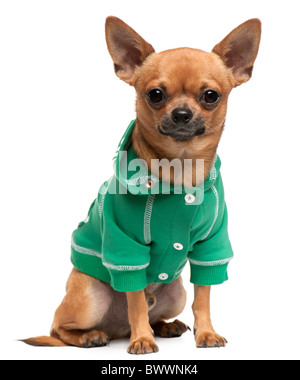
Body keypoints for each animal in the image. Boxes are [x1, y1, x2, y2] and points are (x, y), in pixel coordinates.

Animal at [23, 14, 262, 354]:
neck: (179, 168)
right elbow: (134, 301)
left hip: (175, 293)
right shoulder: (127, 250)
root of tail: (115, 328)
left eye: (211, 96)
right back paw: (92, 336)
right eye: (155, 94)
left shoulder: (211, 247)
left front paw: (205, 333)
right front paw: (142, 340)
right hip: (89, 298)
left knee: (156, 311)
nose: (182, 113)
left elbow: (203, 298)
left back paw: (165, 326)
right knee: (59, 329)